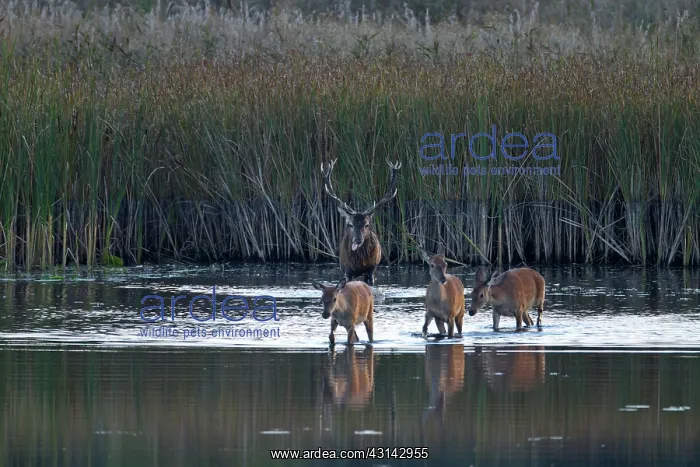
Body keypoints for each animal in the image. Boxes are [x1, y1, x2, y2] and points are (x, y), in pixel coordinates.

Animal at [321, 158, 401, 287]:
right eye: (350, 224)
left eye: (367, 225)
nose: (358, 240)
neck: (360, 263)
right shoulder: (347, 270)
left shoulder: (372, 267)